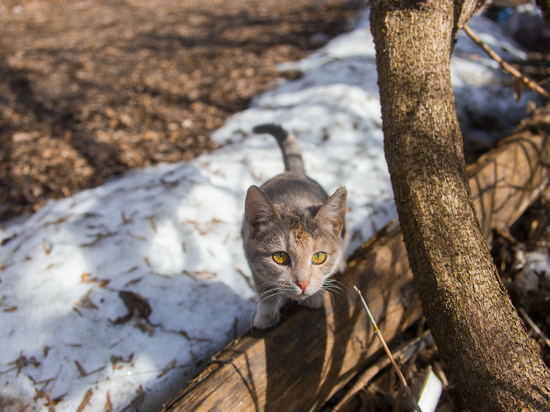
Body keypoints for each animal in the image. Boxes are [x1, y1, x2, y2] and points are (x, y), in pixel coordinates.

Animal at [243, 122, 350, 328]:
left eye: (319, 257)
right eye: (279, 257)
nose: (303, 284)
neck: (293, 200)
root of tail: (292, 173)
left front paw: (314, 297)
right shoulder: (249, 252)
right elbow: (262, 286)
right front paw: (266, 314)